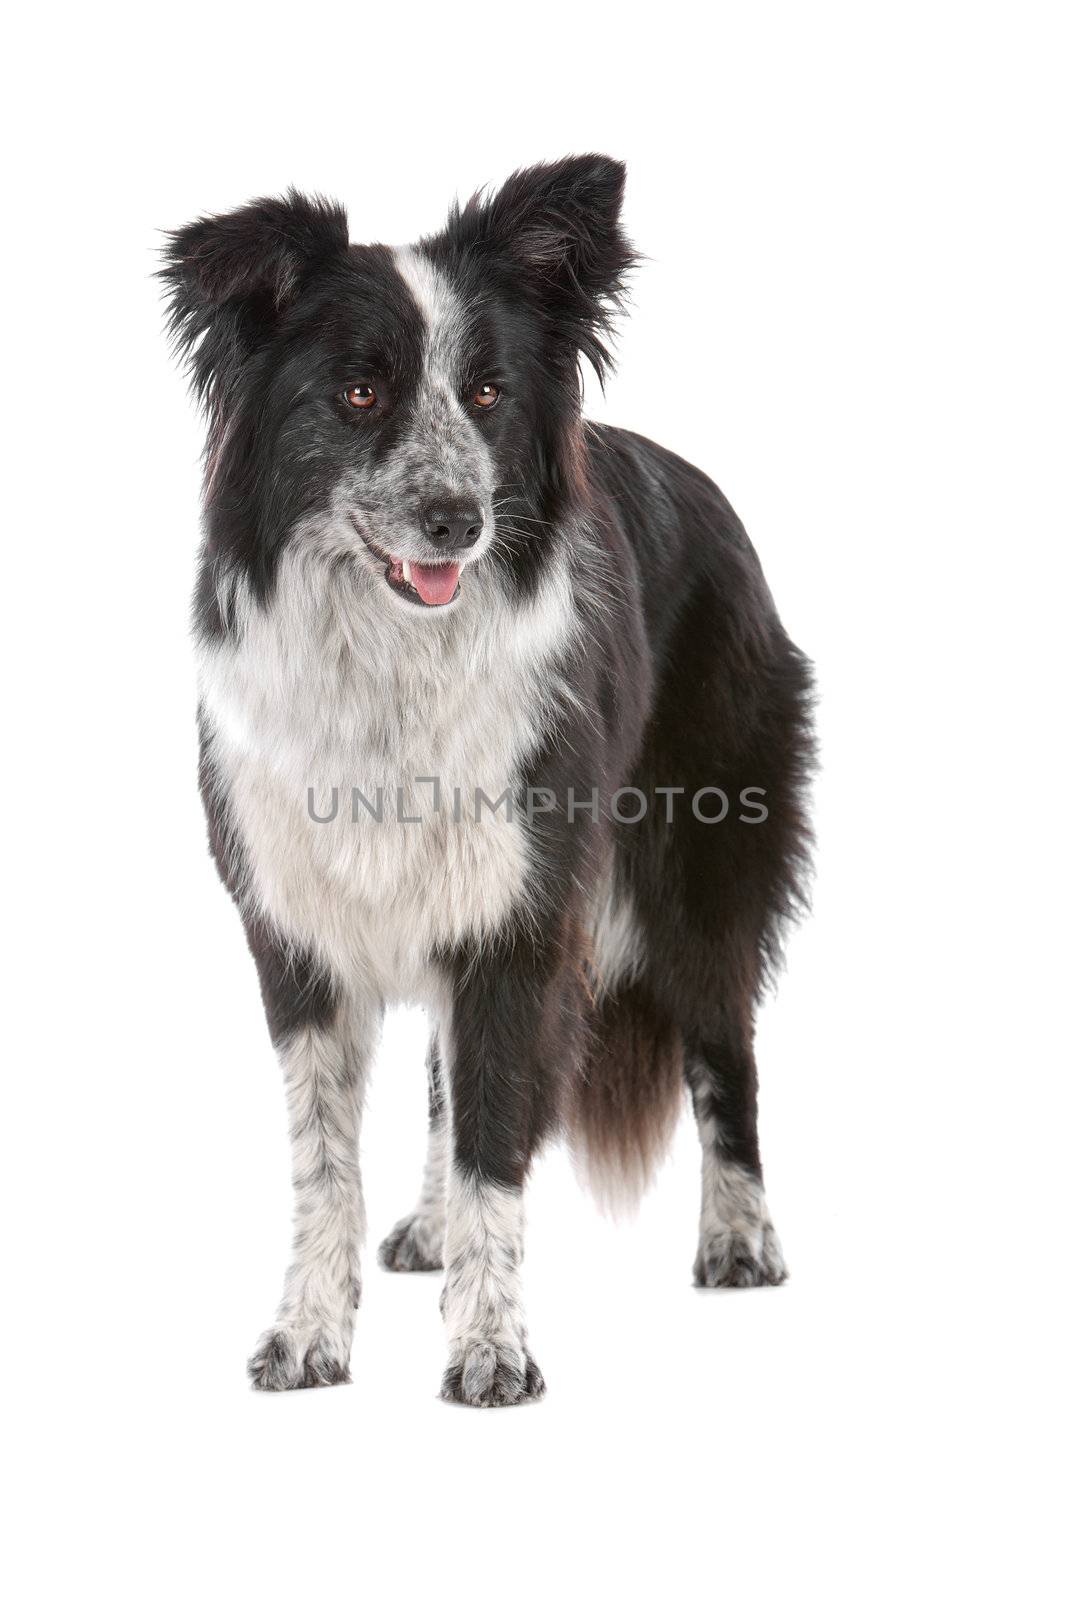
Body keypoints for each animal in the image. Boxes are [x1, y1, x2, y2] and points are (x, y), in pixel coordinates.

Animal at [158, 156, 812, 1408]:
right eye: (359, 393)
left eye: (489, 395)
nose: (456, 521)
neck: (389, 658)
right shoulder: (297, 924)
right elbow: (327, 1157)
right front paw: (307, 1335)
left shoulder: (522, 912)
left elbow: (498, 1146)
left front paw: (492, 1349)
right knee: (441, 1078)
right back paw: (426, 1226)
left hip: (702, 865)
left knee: (723, 1044)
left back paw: (739, 1238)